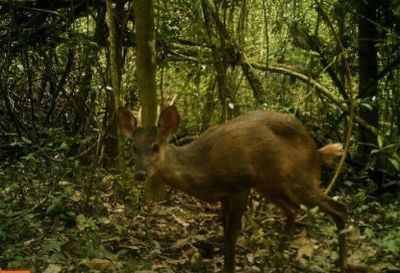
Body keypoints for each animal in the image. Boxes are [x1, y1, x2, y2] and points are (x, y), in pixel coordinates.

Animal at [116, 105, 346, 272]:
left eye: (155, 147)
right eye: (133, 147)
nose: (139, 173)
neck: (204, 168)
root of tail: (316, 152)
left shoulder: (239, 186)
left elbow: (233, 234)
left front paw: (230, 268)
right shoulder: (224, 196)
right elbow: (225, 232)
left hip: (300, 178)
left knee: (339, 208)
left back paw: (342, 264)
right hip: (269, 184)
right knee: (293, 209)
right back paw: (275, 260)